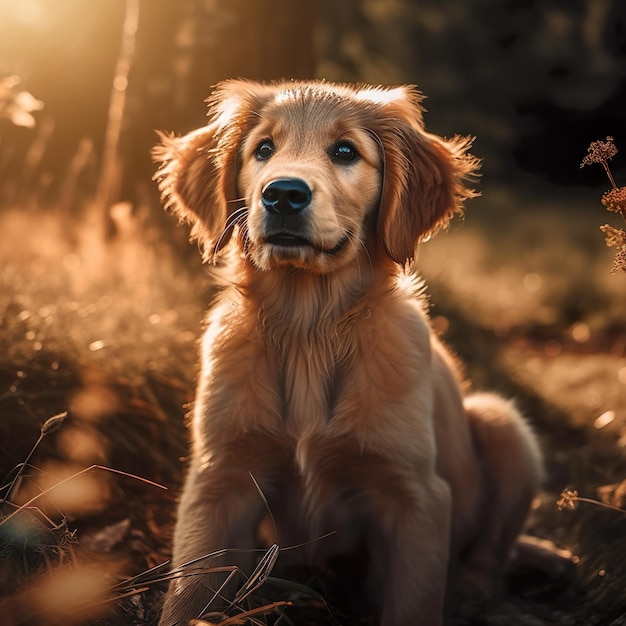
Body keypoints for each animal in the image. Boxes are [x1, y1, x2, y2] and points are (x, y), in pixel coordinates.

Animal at [152, 79, 540, 624]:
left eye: (345, 152)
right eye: (263, 149)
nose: (283, 194)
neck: (310, 328)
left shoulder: (416, 496)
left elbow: (414, 602)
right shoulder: (220, 480)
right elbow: (189, 594)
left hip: (503, 425)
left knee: (489, 556)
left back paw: (472, 593)